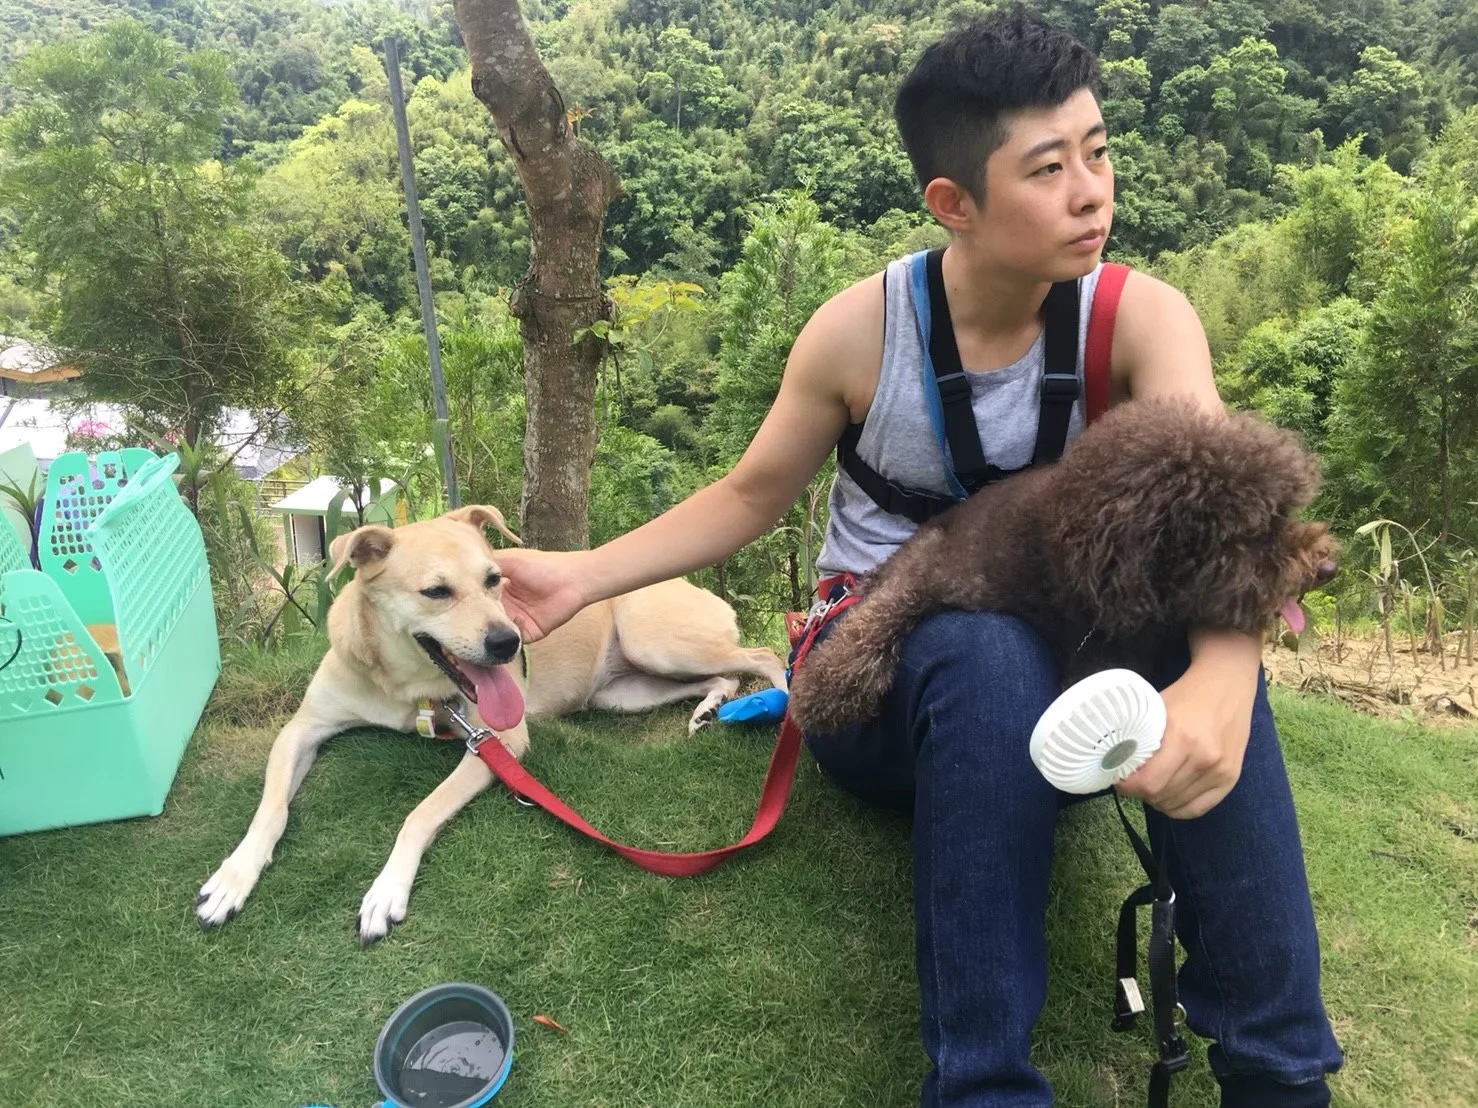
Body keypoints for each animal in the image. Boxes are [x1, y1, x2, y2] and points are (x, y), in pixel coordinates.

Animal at [196, 504, 787, 943]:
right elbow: (270, 809)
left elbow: (419, 812)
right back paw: (709, 709)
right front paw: (233, 878)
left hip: (657, 643)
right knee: (722, 676)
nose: (510, 644)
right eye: (436, 592)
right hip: (625, 692)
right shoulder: (302, 728)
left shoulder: (498, 740)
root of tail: (695, 586)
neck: (405, 687)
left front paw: (387, 890)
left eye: (493, 579)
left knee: (761, 655)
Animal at [789, 397, 1340, 734]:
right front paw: (824, 693)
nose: (1328, 567)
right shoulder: (932, 568)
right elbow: (877, 623)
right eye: (1254, 533)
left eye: (1287, 512)